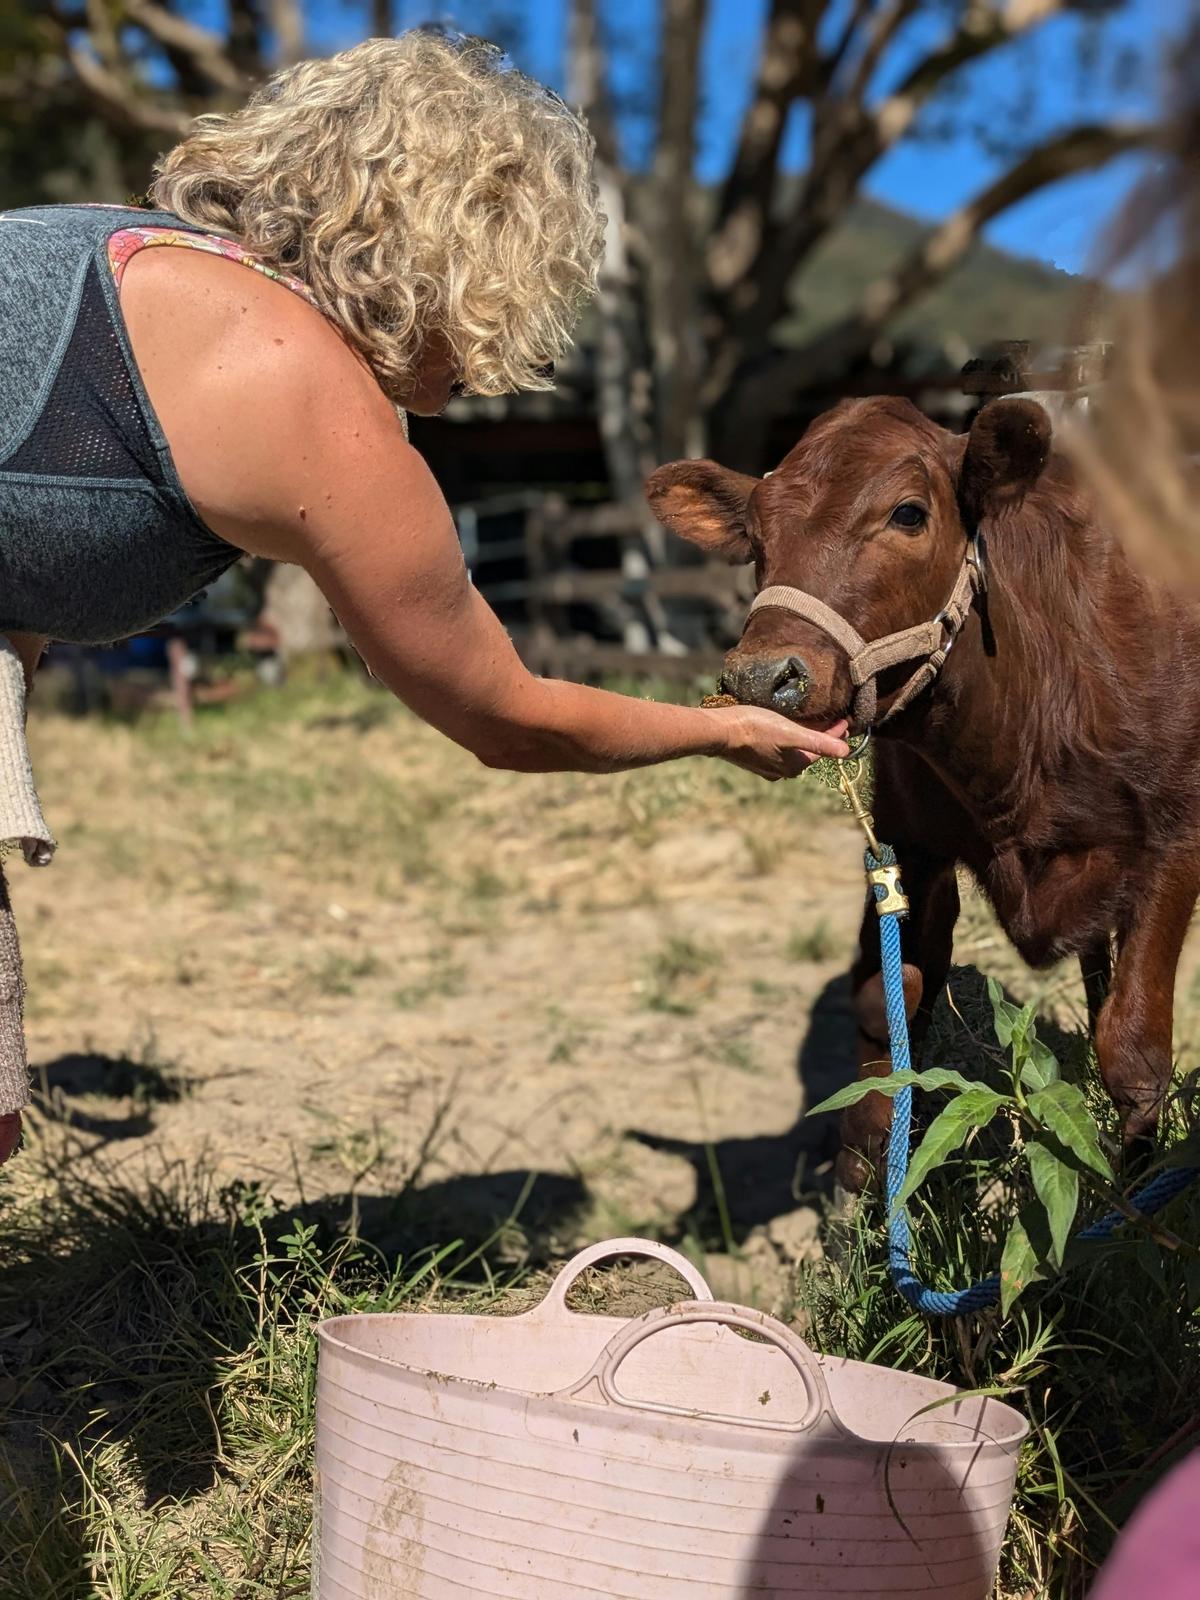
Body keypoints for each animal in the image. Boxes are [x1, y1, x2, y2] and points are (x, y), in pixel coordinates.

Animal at [646, 395, 1200, 1191]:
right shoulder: (909, 842)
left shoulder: (1174, 840)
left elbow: (1135, 1045)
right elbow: (885, 1009)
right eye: (756, 534)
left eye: (908, 513)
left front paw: (1133, 1198)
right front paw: (861, 1197)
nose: (761, 676)